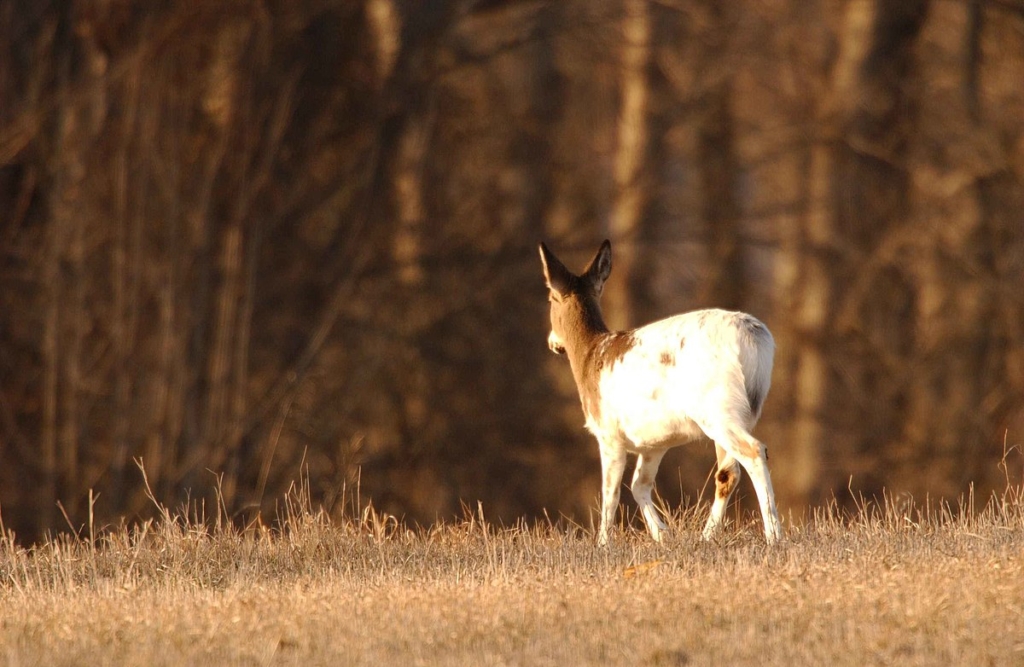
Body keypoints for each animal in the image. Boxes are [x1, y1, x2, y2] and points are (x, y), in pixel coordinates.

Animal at [536, 242, 782, 545]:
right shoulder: (655, 442)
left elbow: (610, 494)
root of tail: (753, 338)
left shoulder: (608, 433)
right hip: (738, 412)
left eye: (550, 299)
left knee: (754, 452)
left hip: (716, 407)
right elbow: (639, 485)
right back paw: (706, 537)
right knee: (728, 472)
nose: (552, 342)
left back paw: (774, 536)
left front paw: (603, 544)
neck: (590, 355)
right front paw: (663, 535)